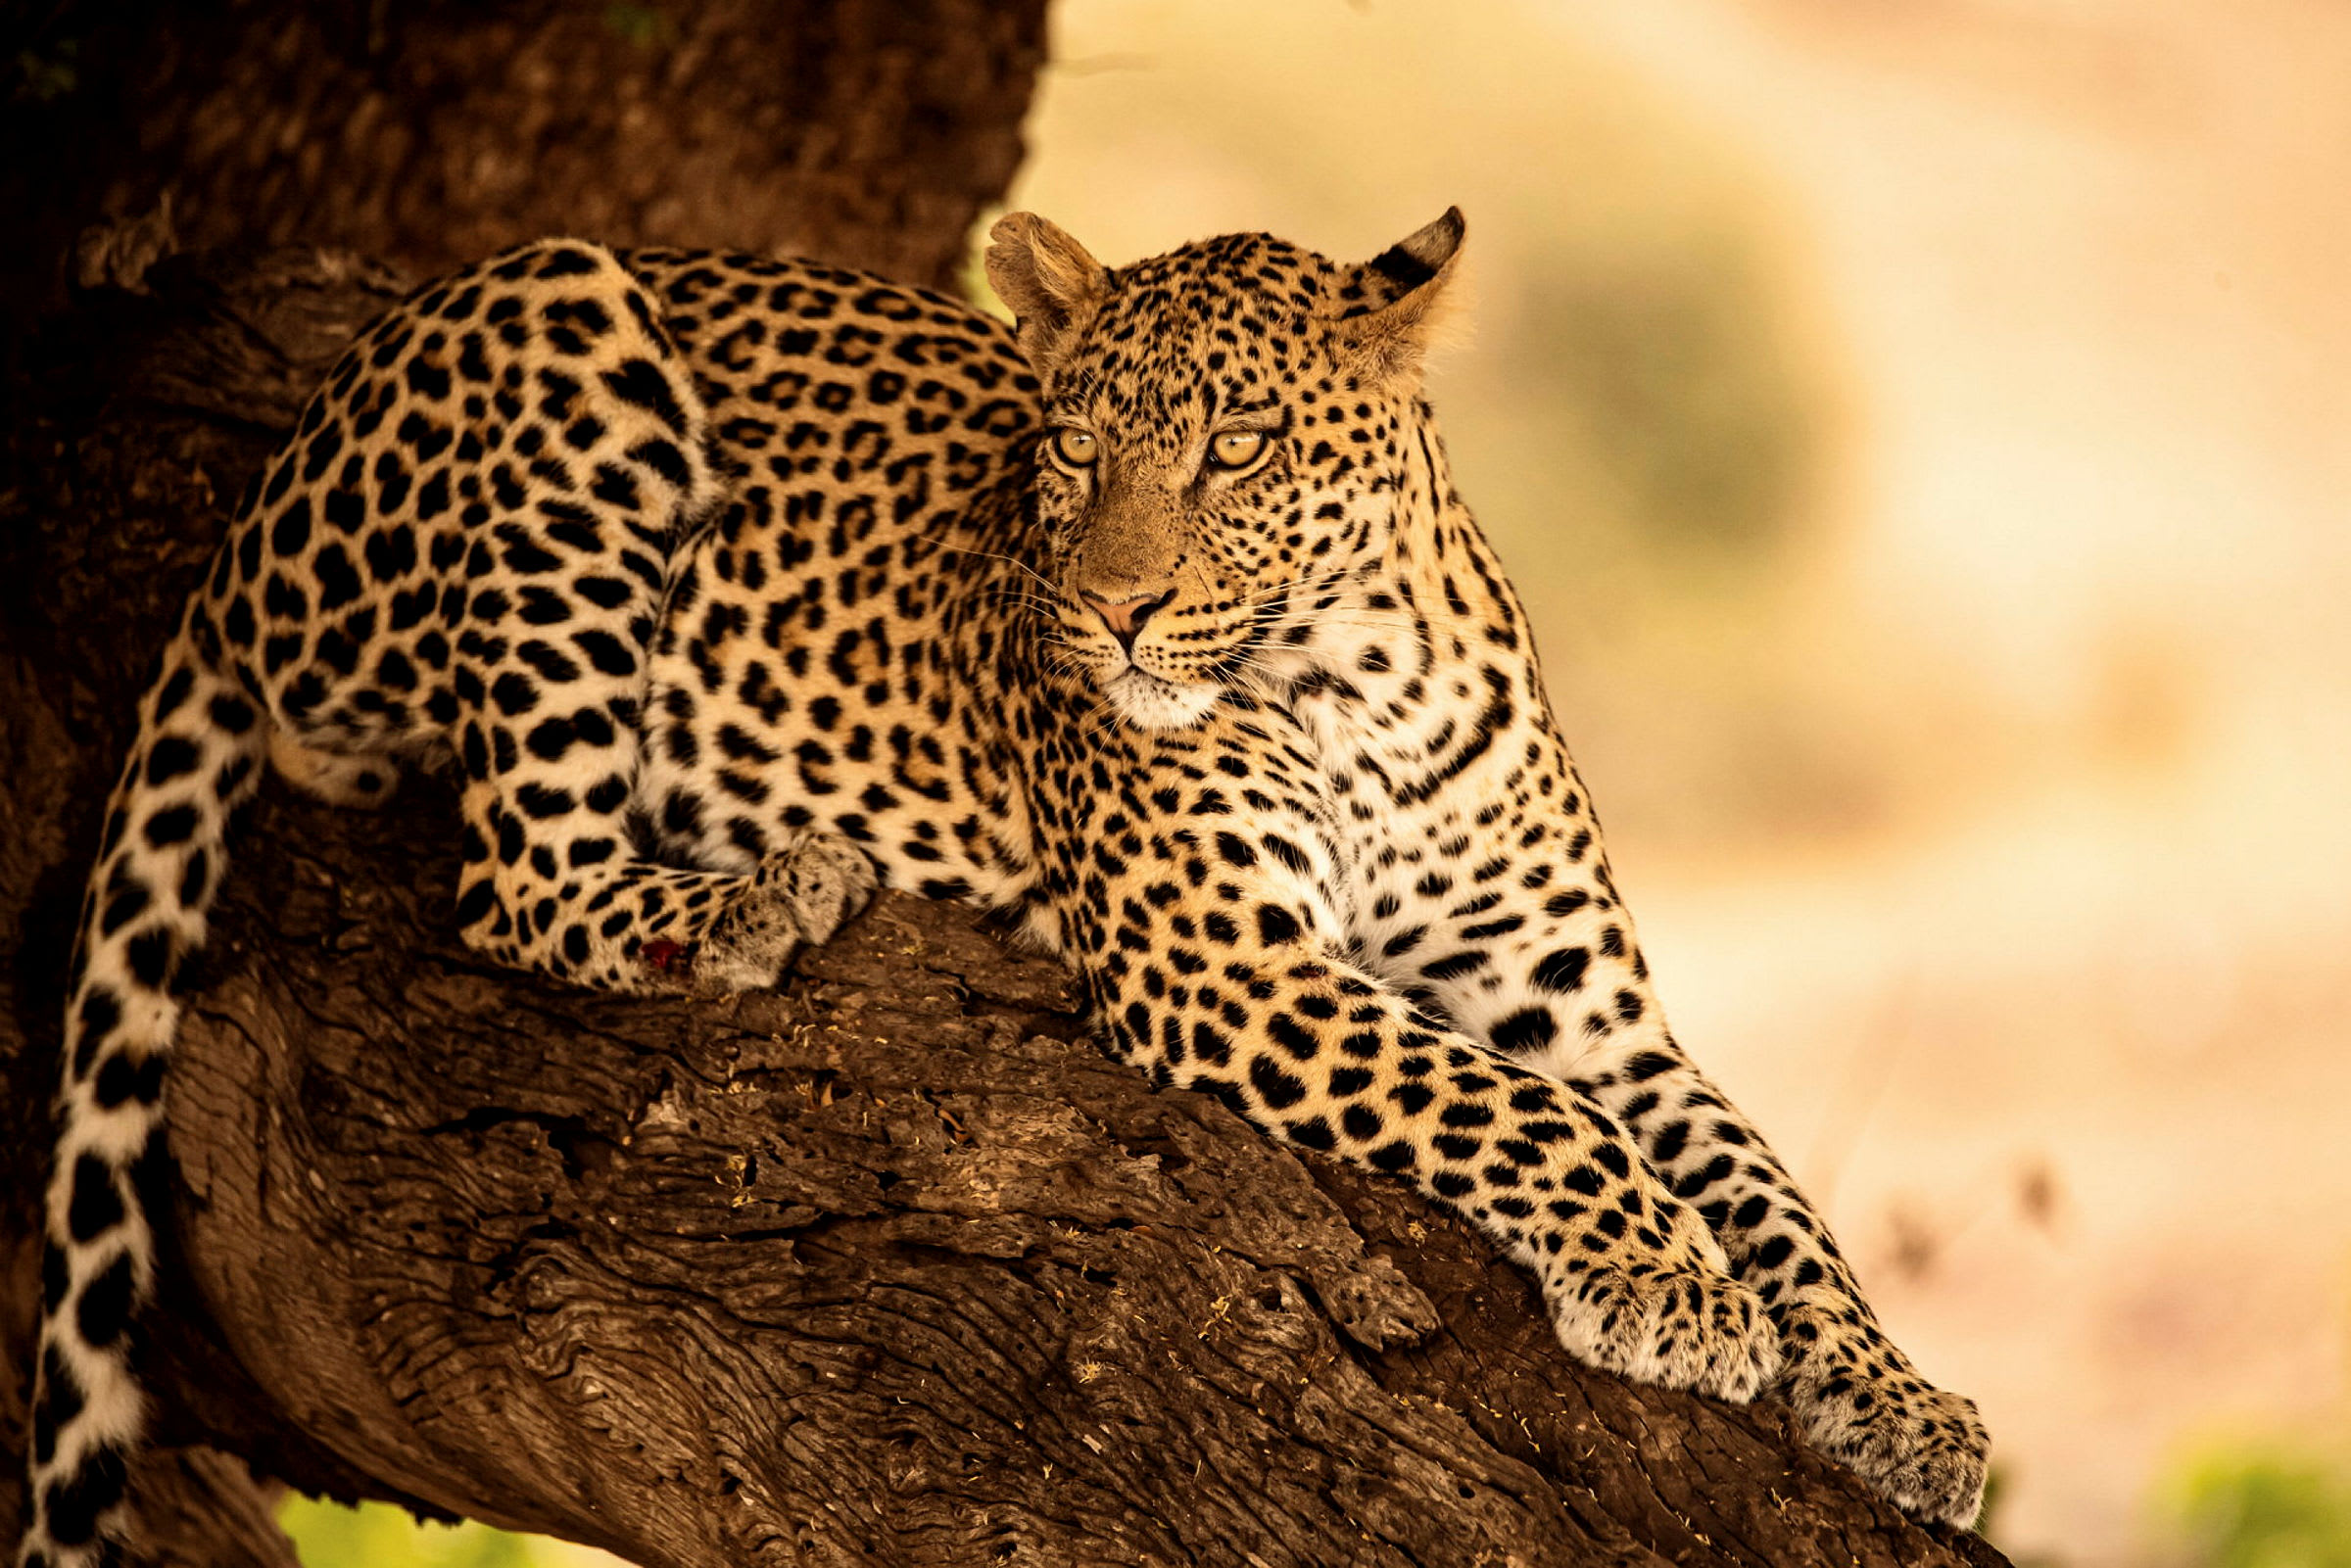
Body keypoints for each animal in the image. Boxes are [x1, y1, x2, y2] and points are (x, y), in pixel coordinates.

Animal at [20, 209, 1990, 1567]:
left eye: (1237, 450)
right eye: (1076, 449)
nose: (1110, 613)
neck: (1367, 674)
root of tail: (257, 504)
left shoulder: (1601, 1016)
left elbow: (1769, 1186)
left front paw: (1898, 1403)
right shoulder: (1228, 965)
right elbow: (1507, 1106)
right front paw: (1668, 1281)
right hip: (557, 328)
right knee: (510, 869)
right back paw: (756, 896)